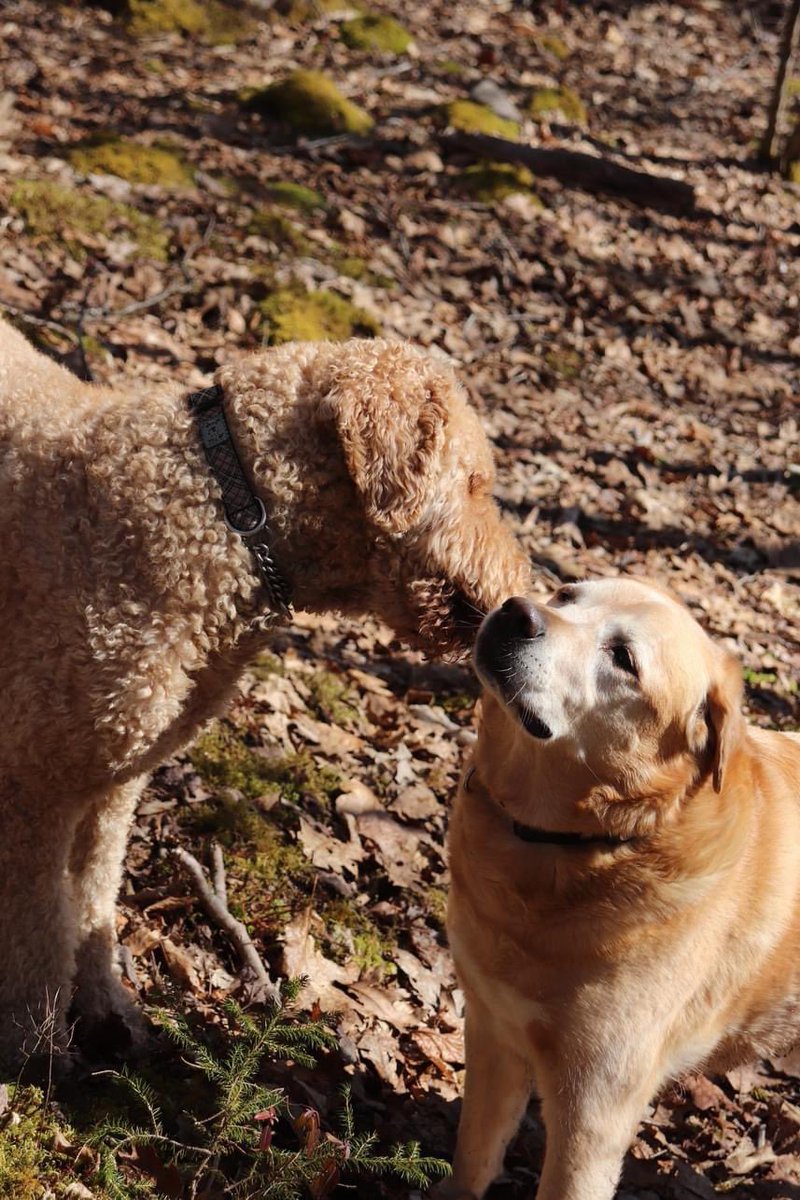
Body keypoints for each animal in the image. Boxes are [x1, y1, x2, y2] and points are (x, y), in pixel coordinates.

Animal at [0, 321, 532, 1070]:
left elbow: (92, 898)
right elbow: (36, 929)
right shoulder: (35, 778)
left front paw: (105, 1010)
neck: (226, 511)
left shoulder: (113, 777)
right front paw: (34, 1048)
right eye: (477, 482)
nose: (524, 591)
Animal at [448, 576, 800, 1195]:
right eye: (567, 594)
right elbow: (473, 1158)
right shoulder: (493, 1031)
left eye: (623, 659)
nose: (516, 612)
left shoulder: (594, 1108)